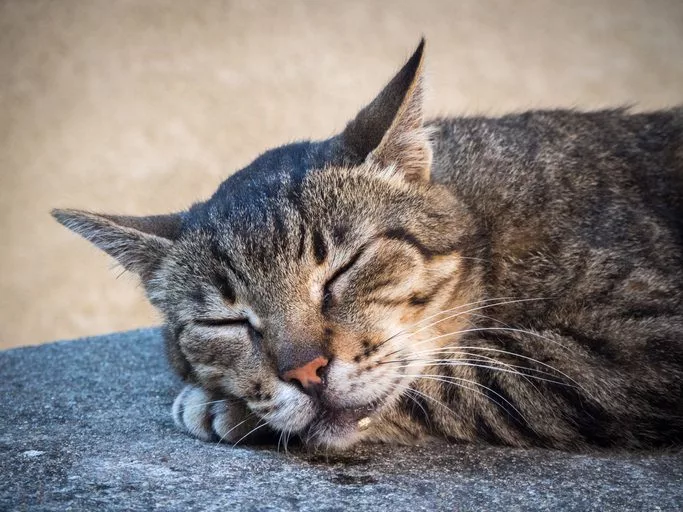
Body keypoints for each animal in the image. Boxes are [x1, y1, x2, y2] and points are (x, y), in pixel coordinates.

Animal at [53, 39, 683, 448]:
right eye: (226, 323)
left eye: (343, 269)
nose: (305, 372)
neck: (487, 220)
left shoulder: (640, 337)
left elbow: (461, 382)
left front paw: (221, 407)